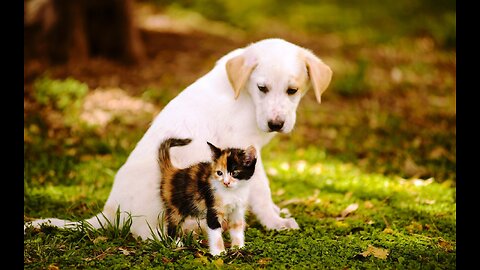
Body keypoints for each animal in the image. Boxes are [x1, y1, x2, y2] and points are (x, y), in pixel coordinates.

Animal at [26, 38, 332, 240]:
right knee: (148, 232)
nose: (276, 124)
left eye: (293, 90)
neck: (244, 95)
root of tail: (109, 211)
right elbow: (261, 189)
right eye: (262, 88)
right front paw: (274, 221)